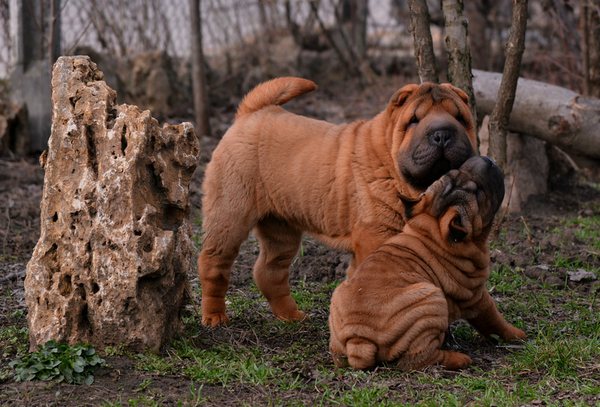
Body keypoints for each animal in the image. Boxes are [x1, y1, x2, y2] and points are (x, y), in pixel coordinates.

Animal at [199, 76, 476, 326]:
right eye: (414, 120)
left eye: (460, 118)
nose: (442, 134)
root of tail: (251, 114)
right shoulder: (376, 234)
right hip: (230, 214)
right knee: (214, 263)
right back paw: (214, 316)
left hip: (280, 226)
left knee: (269, 270)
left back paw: (291, 315)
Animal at [328, 155, 524, 372]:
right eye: (478, 191)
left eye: (456, 170)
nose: (487, 159)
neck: (433, 231)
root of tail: (359, 339)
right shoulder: (477, 296)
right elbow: (494, 320)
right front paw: (518, 335)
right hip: (431, 300)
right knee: (419, 357)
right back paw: (460, 359)